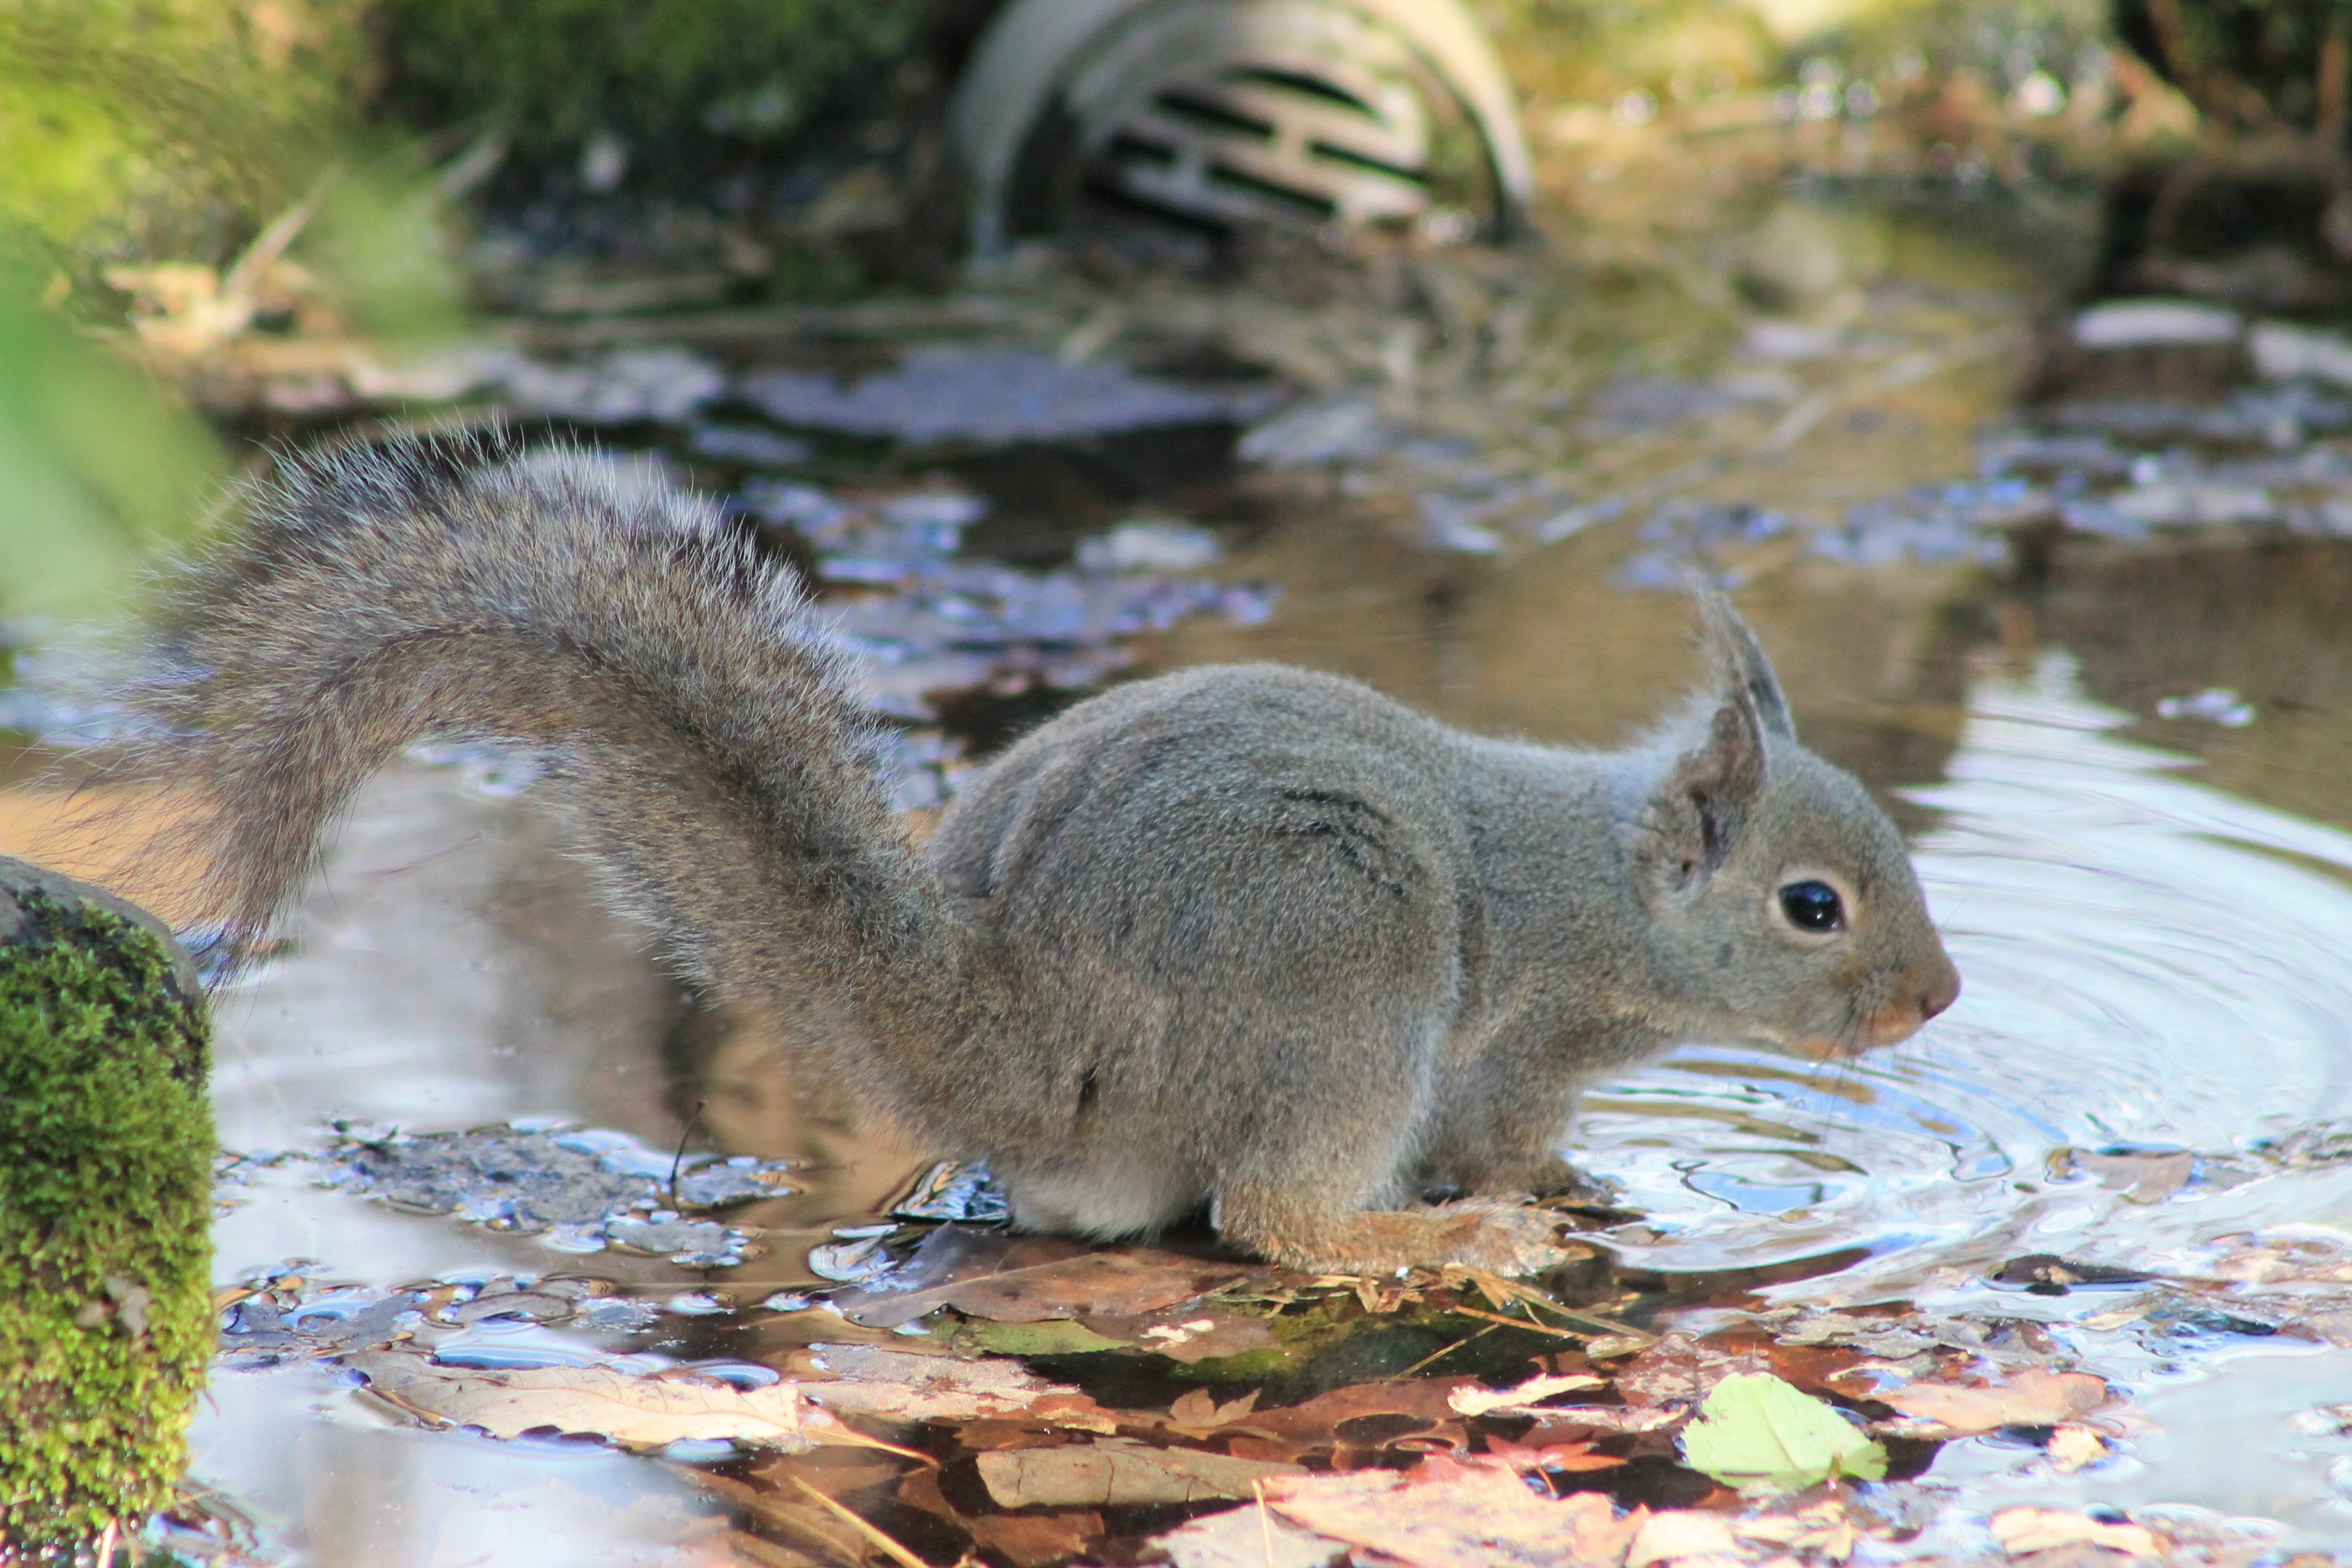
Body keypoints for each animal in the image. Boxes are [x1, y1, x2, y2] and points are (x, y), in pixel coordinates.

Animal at [104, 426, 1960, 1277]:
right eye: (1813, 906)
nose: (1934, 1002)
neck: (1607, 899)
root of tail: (1024, 1041)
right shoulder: (1506, 1042)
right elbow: (1492, 1139)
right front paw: (1532, 1201)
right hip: (1342, 964)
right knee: (1271, 1211)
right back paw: (1414, 1246)